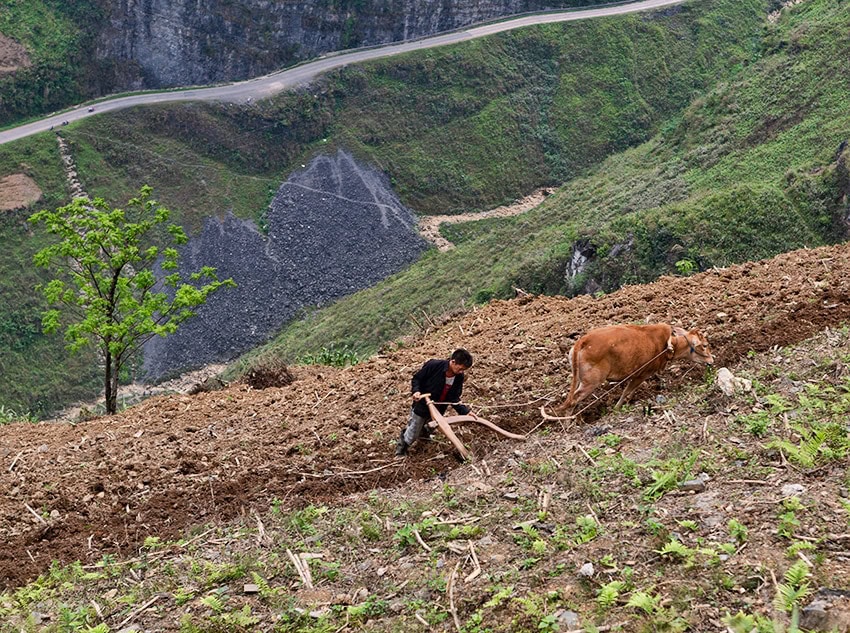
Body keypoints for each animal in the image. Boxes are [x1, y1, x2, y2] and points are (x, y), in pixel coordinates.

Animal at [552, 324, 712, 418]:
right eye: (704, 345)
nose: (711, 361)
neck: (669, 345)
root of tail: (583, 341)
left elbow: (629, 392)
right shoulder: (642, 374)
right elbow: (626, 391)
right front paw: (617, 408)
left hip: (581, 379)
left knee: (574, 399)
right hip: (591, 382)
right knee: (574, 399)